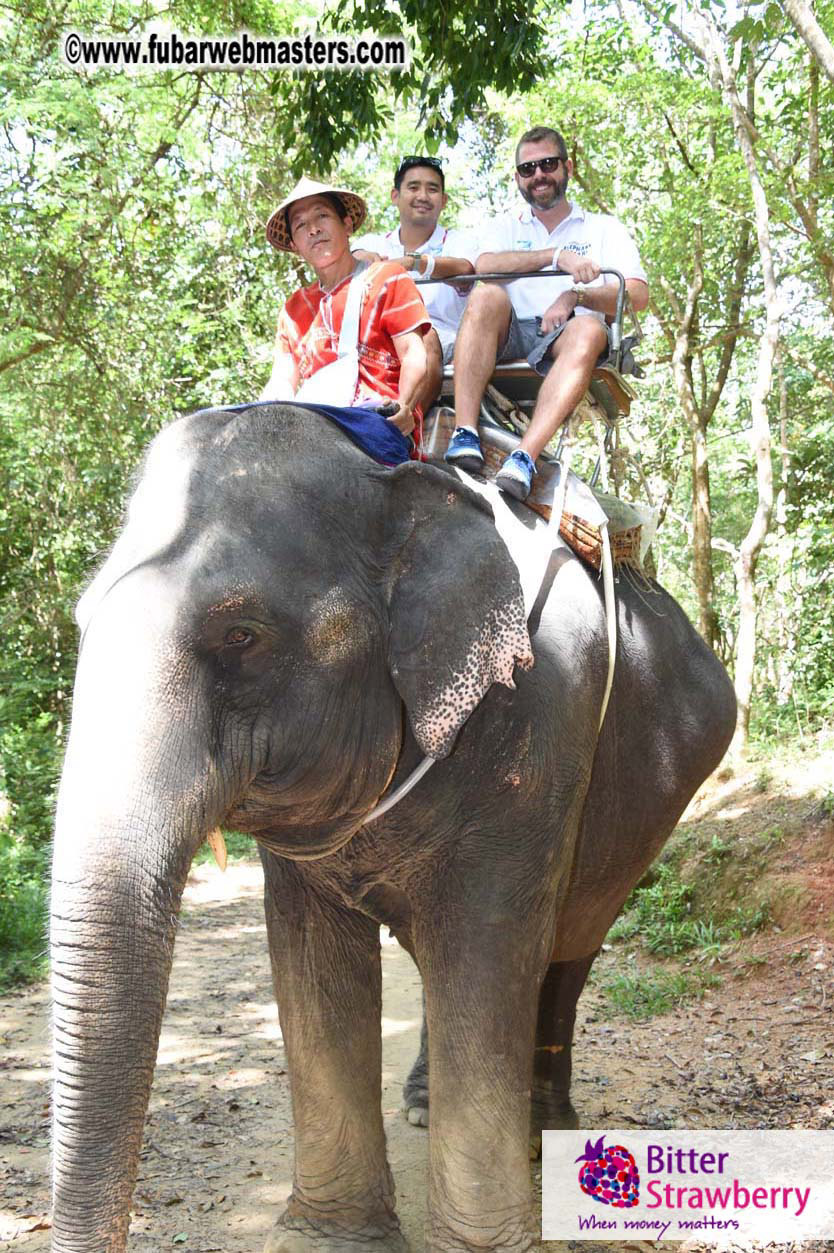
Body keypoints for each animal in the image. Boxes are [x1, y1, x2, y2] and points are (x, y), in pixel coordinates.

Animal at [49, 401, 736, 1253]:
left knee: (567, 946)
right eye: (82, 620)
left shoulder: (541, 724)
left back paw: (543, 1131)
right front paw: (331, 1238)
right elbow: (313, 958)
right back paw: (423, 1104)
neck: (389, 481)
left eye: (241, 635)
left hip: (653, 803)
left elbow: (486, 943)